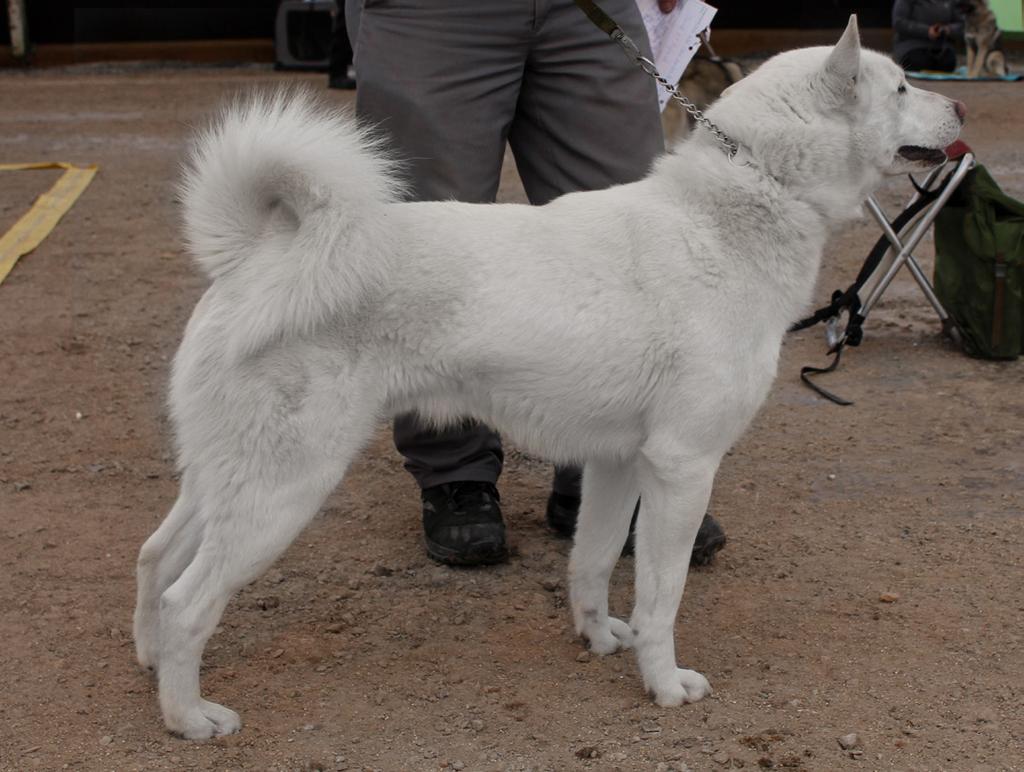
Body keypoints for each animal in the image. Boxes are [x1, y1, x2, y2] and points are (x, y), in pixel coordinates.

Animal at [134, 18, 958, 737]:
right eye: (901, 86)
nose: (960, 106)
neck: (733, 210)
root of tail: (258, 257)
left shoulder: (618, 464)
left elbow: (591, 566)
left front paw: (600, 642)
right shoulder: (683, 467)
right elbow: (662, 596)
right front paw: (664, 685)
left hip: (226, 479)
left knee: (154, 560)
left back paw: (149, 662)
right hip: (284, 490)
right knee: (188, 601)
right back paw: (188, 718)